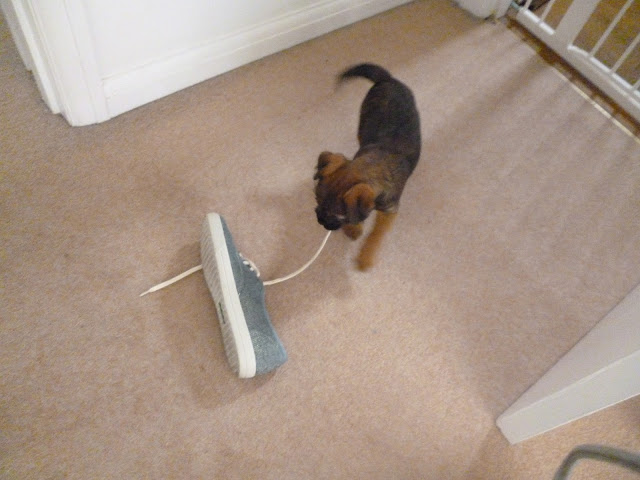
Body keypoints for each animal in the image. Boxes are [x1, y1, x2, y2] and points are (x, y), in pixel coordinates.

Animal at [314, 64, 420, 272]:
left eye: (338, 217)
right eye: (316, 202)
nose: (320, 221)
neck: (372, 165)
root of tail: (388, 79)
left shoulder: (389, 211)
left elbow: (376, 234)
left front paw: (365, 256)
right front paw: (355, 229)